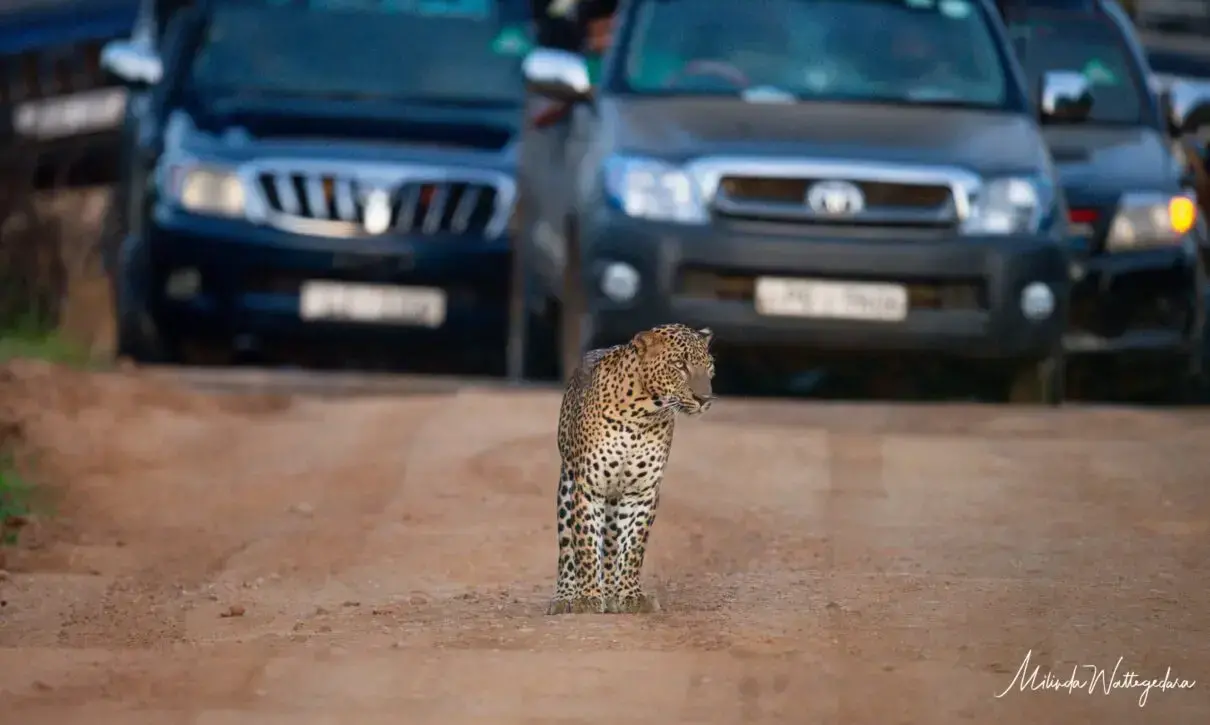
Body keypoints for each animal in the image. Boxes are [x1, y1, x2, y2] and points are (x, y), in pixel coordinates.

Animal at [547, 323, 716, 615]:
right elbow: (586, 543)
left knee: (611, 542)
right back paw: (565, 596)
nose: (704, 398)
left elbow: (633, 546)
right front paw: (587, 597)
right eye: (680, 365)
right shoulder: (589, 486)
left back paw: (611, 593)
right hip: (567, 484)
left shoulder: (642, 491)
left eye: (710, 367)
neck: (642, 414)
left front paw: (630, 595)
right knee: (568, 546)